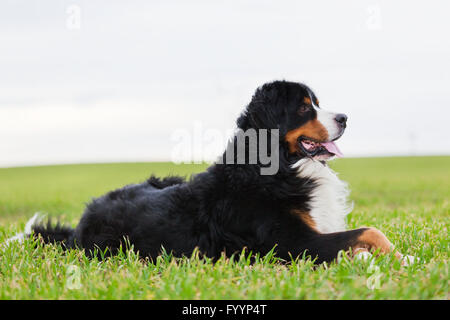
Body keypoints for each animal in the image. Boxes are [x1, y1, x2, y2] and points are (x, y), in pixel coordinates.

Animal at [6, 80, 414, 264]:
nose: (344, 117)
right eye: (303, 108)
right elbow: (368, 232)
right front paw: (397, 258)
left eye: (317, 102)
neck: (276, 168)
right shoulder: (294, 243)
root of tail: (80, 224)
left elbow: (368, 234)